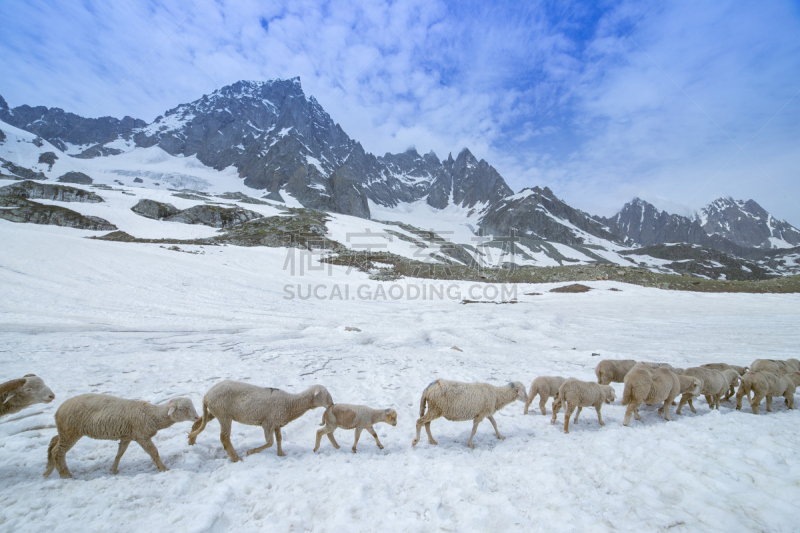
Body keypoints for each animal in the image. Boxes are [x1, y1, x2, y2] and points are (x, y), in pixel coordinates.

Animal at [43, 390, 200, 478]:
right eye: (184, 408)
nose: (197, 417)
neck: (152, 415)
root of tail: (58, 410)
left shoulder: (127, 436)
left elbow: (120, 454)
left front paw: (113, 470)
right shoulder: (142, 436)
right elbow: (154, 453)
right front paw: (163, 469)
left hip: (65, 431)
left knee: (53, 442)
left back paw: (48, 470)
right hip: (70, 431)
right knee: (58, 451)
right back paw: (65, 474)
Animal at [187, 378, 332, 462]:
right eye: (325, 395)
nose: (331, 404)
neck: (290, 404)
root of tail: (206, 396)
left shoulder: (276, 423)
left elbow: (279, 439)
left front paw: (281, 454)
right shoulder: (267, 423)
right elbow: (270, 442)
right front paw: (251, 452)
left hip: (216, 411)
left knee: (199, 421)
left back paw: (191, 440)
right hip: (223, 414)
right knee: (224, 437)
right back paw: (236, 458)